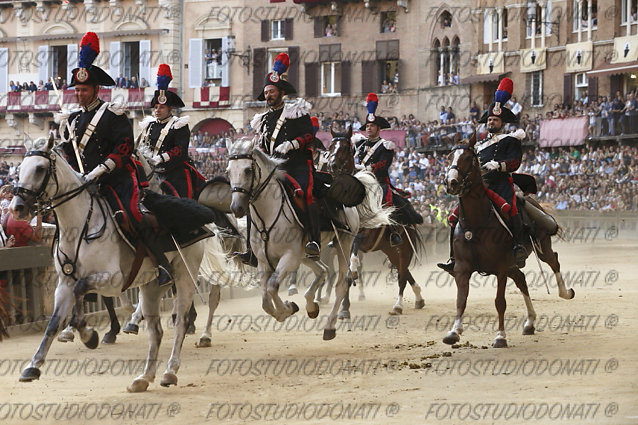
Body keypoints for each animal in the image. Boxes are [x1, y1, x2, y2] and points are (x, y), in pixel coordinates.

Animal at [10, 137, 206, 390]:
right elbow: (53, 322)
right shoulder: (63, 284)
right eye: (19, 169)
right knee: (156, 331)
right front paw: (33, 366)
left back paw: (170, 371)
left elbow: (81, 289)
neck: (80, 224)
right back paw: (144, 378)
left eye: (40, 168)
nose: (16, 207)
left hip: (184, 277)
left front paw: (88, 334)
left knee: (180, 321)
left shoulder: (113, 280)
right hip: (151, 286)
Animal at [324, 127, 424, 314]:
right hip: (389, 250)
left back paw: (398, 305)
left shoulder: (363, 237)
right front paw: (344, 308)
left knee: (402, 275)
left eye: (345, 147)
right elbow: (345, 273)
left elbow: (352, 264)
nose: (331, 165)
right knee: (405, 271)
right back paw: (419, 298)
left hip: (404, 249)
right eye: (331, 146)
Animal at [444, 134, 576, 346]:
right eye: (449, 157)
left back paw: (565, 293)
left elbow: (500, 302)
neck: (476, 224)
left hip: (539, 248)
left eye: (469, 158)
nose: (452, 182)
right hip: (513, 264)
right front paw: (454, 331)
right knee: (522, 280)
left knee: (554, 261)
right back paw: (530, 323)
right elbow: (461, 300)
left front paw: (500, 336)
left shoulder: (501, 268)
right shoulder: (462, 269)